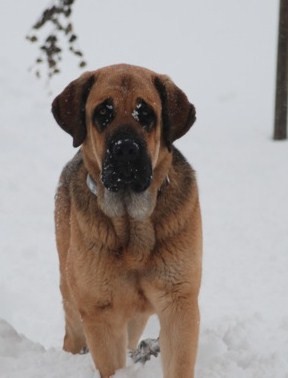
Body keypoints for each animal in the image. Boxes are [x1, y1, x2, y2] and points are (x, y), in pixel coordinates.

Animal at [51, 63, 201, 376]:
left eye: (146, 115)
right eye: (102, 113)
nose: (125, 149)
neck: (132, 224)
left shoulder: (179, 303)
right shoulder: (100, 312)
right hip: (72, 294)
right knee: (73, 335)